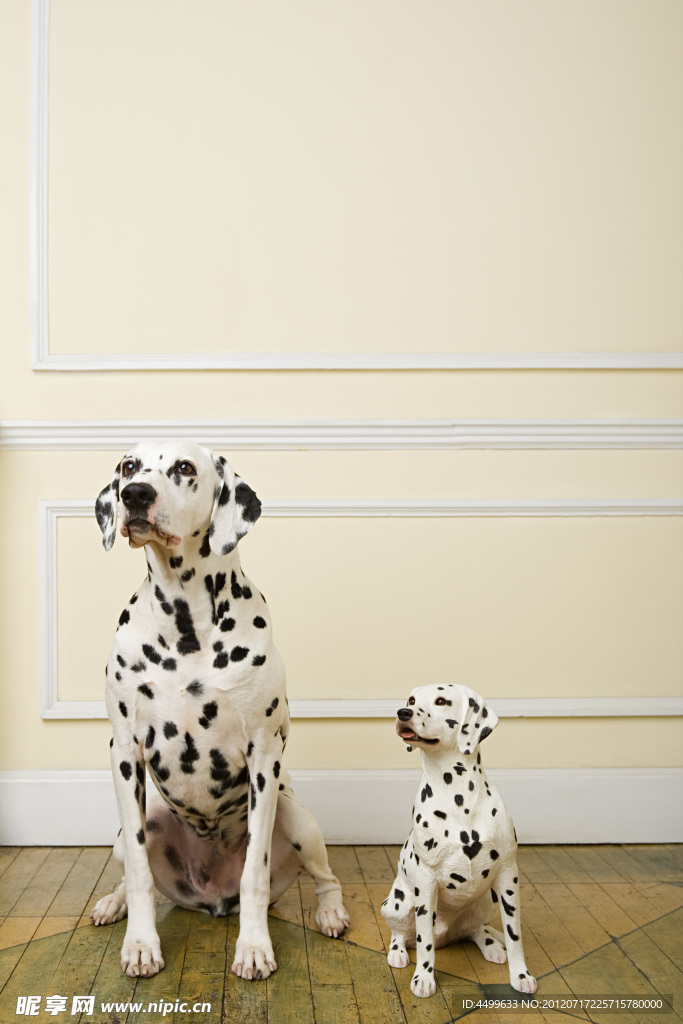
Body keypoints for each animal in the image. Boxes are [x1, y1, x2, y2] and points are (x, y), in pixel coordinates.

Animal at [89, 442, 350, 983]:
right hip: (137, 826)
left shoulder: (264, 754)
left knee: (325, 876)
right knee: (130, 868)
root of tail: (211, 896)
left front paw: (253, 947)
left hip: (297, 819)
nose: (135, 495)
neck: (185, 624)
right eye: (128, 466)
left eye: (185, 468)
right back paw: (113, 903)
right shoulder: (124, 750)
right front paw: (140, 945)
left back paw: (331, 912)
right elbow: (139, 874)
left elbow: (254, 871)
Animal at [382, 684, 536, 995]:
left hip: (487, 899)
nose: (403, 712)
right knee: (401, 934)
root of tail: (448, 934)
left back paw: (491, 945)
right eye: (411, 700)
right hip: (397, 904)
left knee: (476, 930)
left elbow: (515, 935)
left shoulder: (508, 875)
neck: (458, 797)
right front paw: (424, 977)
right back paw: (398, 952)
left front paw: (521, 975)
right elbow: (424, 942)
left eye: (441, 700)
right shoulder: (425, 882)